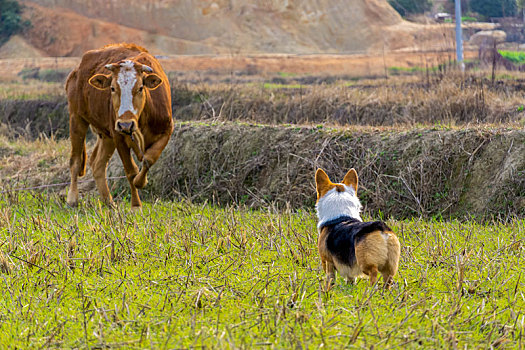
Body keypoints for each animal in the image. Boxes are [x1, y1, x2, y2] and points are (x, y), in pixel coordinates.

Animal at [64, 43, 173, 208]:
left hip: (106, 135)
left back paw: (108, 202)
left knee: (98, 163)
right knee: (75, 160)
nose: (126, 124)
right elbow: (131, 171)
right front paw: (136, 205)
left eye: (140, 88)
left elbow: (149, 159)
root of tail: (76, 71)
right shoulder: (119, 136)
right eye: (113, 88)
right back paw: (72, 199)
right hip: (76, 119)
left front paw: (142, 181)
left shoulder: (166, 130)